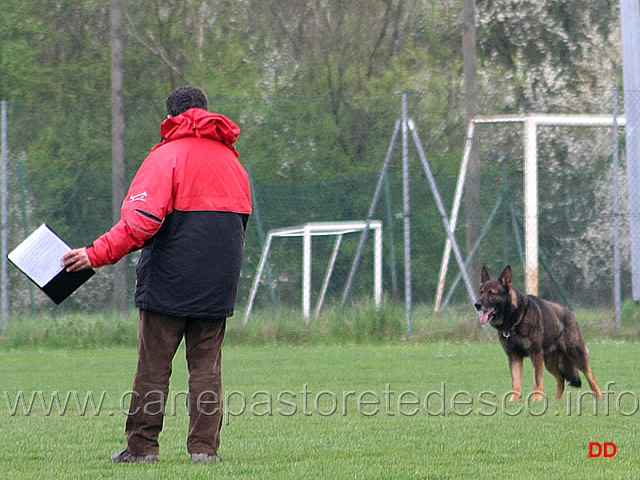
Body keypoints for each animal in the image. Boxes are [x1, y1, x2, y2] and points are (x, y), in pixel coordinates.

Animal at [472, 266, 604, 402]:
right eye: (481, 292)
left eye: (492, 292)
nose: (477, 305)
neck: (515, 319)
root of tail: (569, 312)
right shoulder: (514, 356)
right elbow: (516, 381)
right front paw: (514, 400)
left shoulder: (535, 354)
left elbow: (537, 379)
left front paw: (536, 399)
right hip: (549, 362)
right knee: (560, 379)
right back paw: (555, 400)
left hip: (575, 355)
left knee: (590, 376)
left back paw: (599, 396)